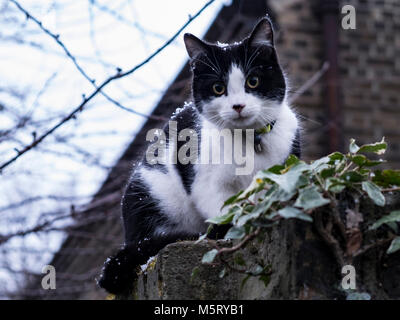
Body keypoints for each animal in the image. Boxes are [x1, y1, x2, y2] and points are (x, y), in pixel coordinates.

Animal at [97, 16, 300, 294]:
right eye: (218, 88)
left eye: (253, 81)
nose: (238, 105)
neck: (248, 141)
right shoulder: (207, 185)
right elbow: (223, 208)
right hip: (148, 194)